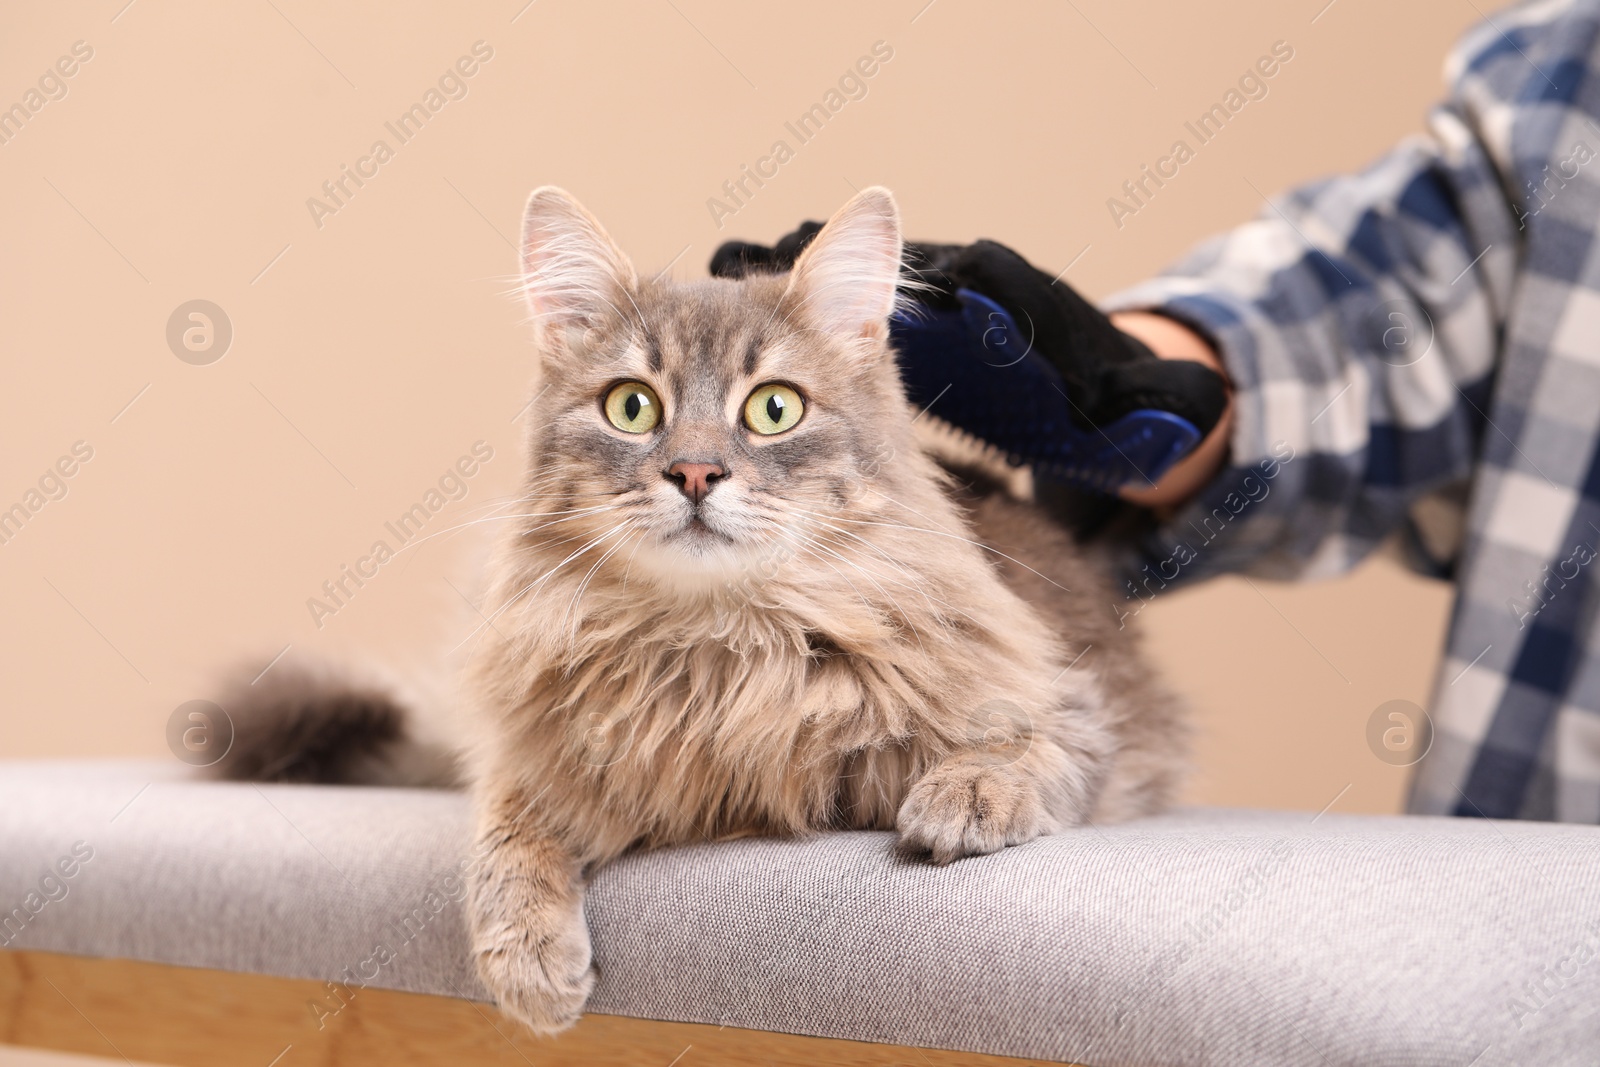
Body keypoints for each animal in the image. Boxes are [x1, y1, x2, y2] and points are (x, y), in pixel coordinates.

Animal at [212, 185, 1184, 1036]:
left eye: (774, 408)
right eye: (633, 406)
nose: (694, 472)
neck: (719, 642)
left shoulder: (1074, 709)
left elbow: (1021, 743)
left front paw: (964, 795)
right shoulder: (540, 746)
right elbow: (504, 836)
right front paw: (529, 962)